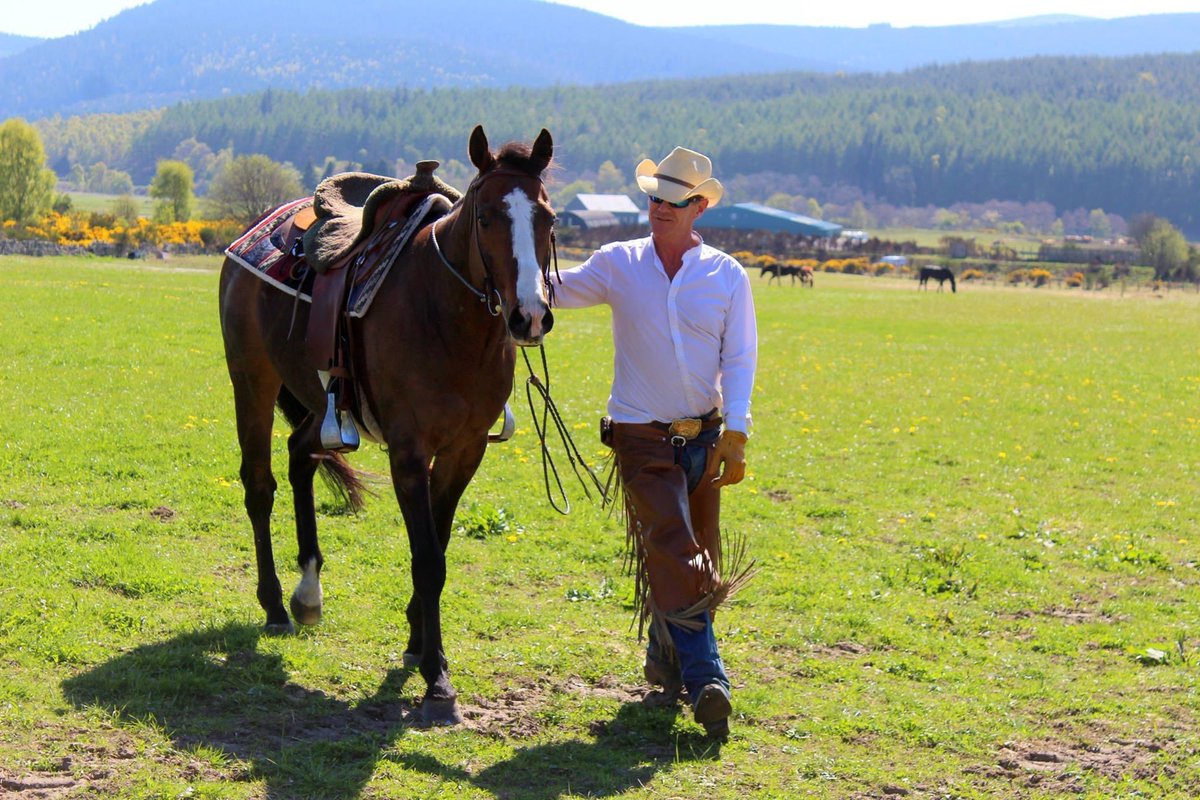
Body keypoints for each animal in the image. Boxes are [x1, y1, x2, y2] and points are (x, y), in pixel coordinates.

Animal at [218, 125, 556, 726]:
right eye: (486, 217)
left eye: (550, 218)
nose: (531, 316)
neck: (447, 315)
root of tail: (250, 237)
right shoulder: (408, 452)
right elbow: (427, 558)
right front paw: (437, 679)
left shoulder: (464, 450)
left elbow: (439, 549)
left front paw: (419, 643)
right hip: (251, 381)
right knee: (259, 485)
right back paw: (275, 604)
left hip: (321, 404)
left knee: (301, 454)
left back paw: (308, 593)